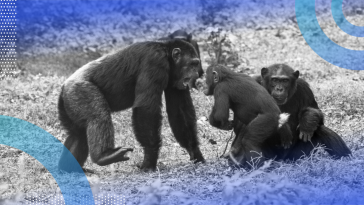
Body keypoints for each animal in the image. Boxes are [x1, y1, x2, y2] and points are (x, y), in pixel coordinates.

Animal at [57, 38, 205, 173]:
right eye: (192, 64)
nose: (196, 73)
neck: (167, 55)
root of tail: (63, 87)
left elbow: (179, 110)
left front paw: (195, 152)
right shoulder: (154, 62)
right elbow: (146, 108)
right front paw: (150, 158)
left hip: (69, 104)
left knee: (79, 135)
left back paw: (69, 167)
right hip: (80, 91)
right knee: (98, 115)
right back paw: (104, 156)